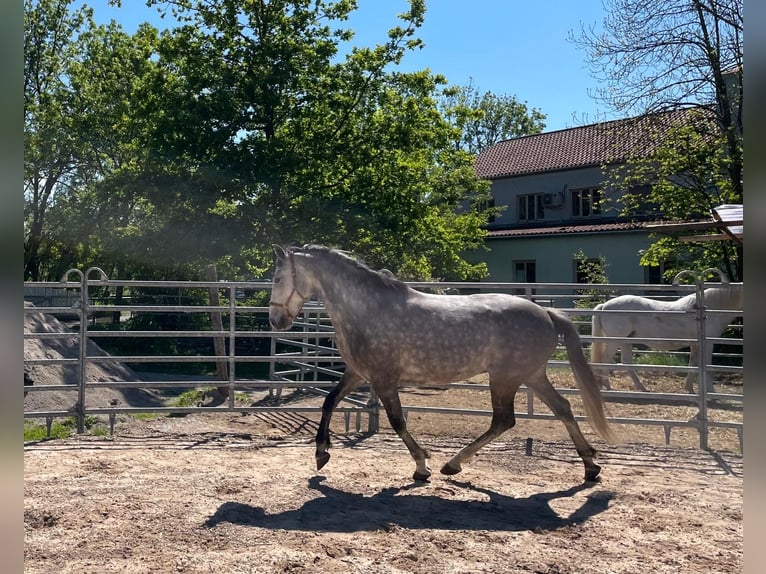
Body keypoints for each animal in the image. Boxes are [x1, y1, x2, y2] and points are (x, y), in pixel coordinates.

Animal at [270, 245, 616, 484]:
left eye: (277, 277)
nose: (276, 320)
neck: (365, 309)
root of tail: (546, 313)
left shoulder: (383, 379)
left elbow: (397, 422)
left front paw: (422, 466)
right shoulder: (358, 373)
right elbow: (329, 401)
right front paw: (321, 454)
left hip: (505, 379)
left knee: (504, 420)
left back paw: (452, 464)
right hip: (531, 375)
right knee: (562, 409)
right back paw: (590, 466)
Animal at [592, 286, 744, 394]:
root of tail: (604, 306)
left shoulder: (695, 346)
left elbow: (693, 365)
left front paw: (689, 389)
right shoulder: (707, 344)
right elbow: (707, 366)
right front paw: (710, 393)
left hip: (625, 342)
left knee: (627, 363)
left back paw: (642, 388)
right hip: (615, 341)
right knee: (605, 358)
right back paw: (608, 386)